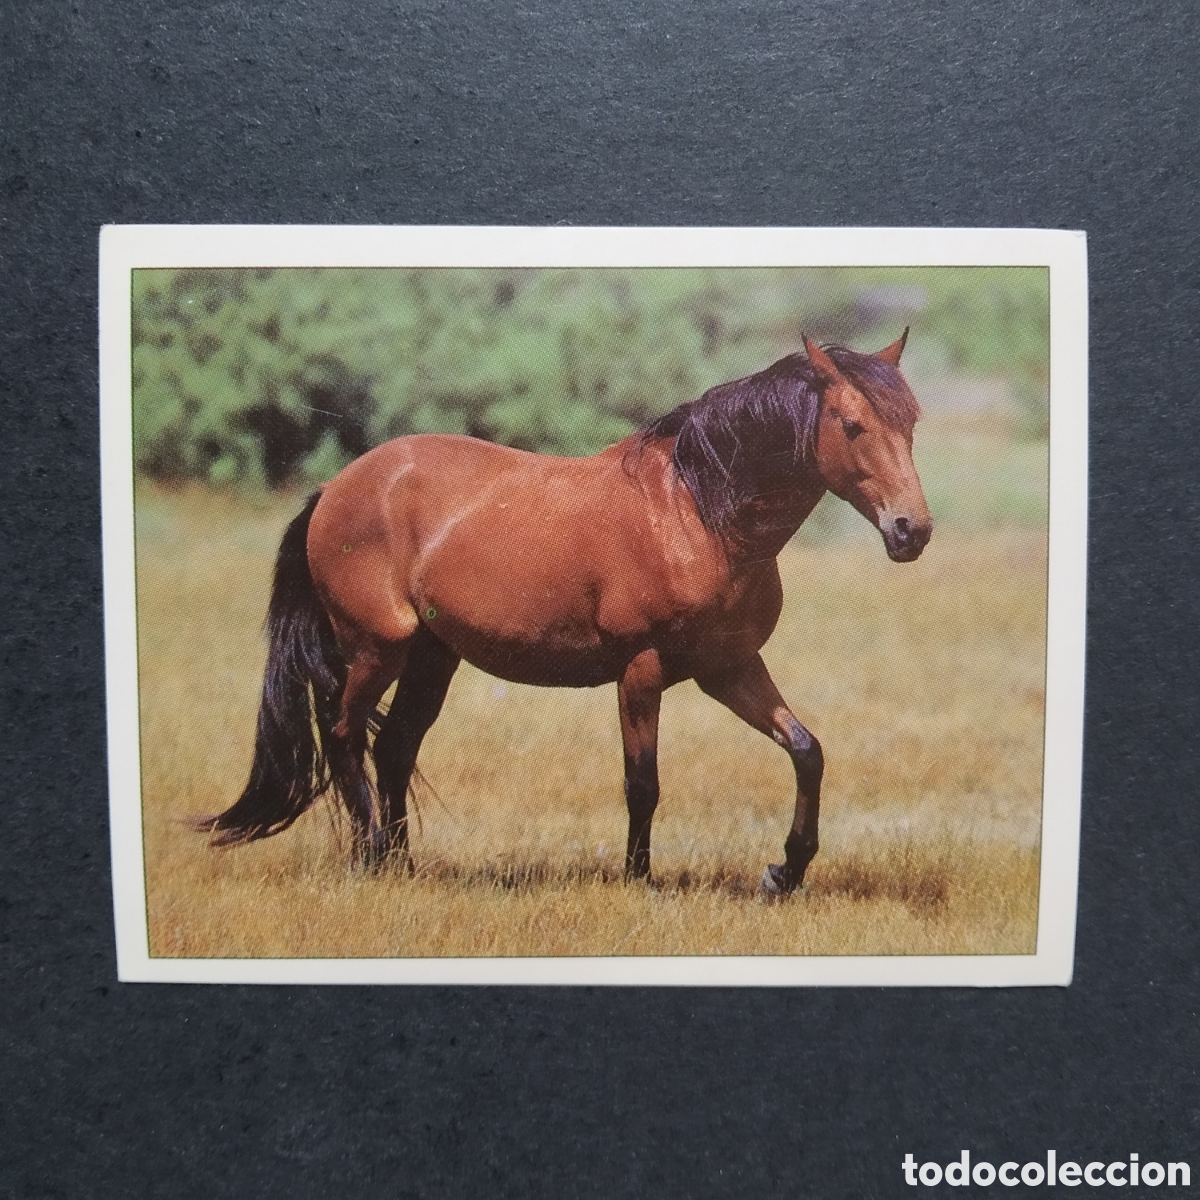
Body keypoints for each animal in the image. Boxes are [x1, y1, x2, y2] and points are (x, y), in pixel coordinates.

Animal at [195, 332, 931, 896]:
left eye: (912, 423)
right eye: (853, 425)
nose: (911, 531)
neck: (695, 514)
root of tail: (336, 488)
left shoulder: (729, 668)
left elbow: (806, 751)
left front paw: (785, 871)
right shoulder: (641, 670)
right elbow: (642, 782)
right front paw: (640, 880)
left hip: (434, 655)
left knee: (394, 746)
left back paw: (404, 864)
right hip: (377, 647)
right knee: (346, 735)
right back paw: (372, 856)